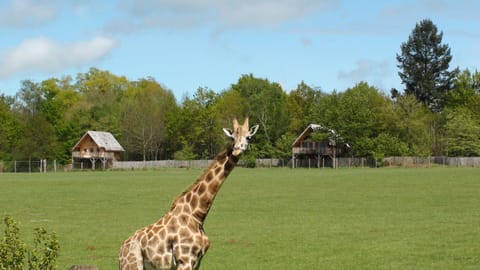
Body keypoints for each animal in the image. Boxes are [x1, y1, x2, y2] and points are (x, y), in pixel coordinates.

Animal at [118, 117, 258, 268]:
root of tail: (120, 251)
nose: (237, 150)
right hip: (132, 264)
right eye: (232, 138)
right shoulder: (185, 260)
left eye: (248, 137)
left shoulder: (197, 261)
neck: (197, 215)